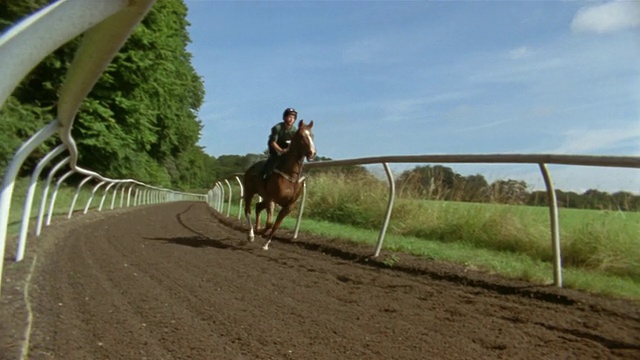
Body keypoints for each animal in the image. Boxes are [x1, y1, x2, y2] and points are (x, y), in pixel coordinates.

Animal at [244, 119, 316, 249]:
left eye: (312, 135)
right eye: (302, 136)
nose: (312, 153)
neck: (290, 175)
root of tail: (250, 168)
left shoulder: (288, 206)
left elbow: (276, 225)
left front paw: (266, 243)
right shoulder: (273, 199)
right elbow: (270, 222)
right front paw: (260, 233)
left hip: (264, 197)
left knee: (258, 206)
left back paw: (257, 229)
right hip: (250, 191)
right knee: (247, 210)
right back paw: (251, 234)